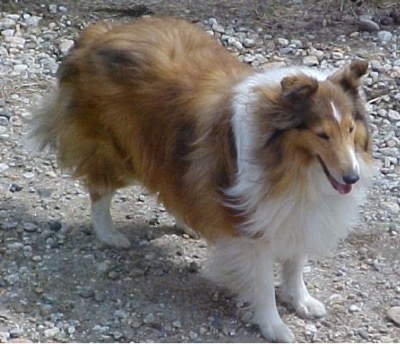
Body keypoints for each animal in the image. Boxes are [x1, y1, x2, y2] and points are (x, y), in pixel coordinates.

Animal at [28, 15, 376, 342]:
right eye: (321, 134)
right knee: (100, 191)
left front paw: (301, 301)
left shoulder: (296, 210)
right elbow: (263, 282)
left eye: (349, 129)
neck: (291, 164)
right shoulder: (249, 224)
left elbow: (295, 263)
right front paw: (273, 325)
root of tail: (98, 33)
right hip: (114, 148)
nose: (352, 177)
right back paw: (109, 234)